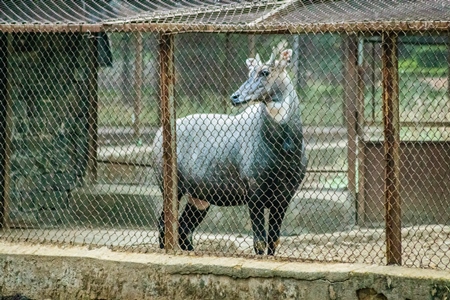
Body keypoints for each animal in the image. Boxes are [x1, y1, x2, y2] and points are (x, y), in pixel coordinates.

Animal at [153, 41, 308, 254]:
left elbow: (273, 241)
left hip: (199, 199)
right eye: (249, 72)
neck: (284, 148)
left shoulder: (284, 197)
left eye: (265, 72)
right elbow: (259, 241)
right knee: (164, 224)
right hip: (173, 190)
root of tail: (158, 134)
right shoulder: (254, 193)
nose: (235, 97)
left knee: (184, 229)